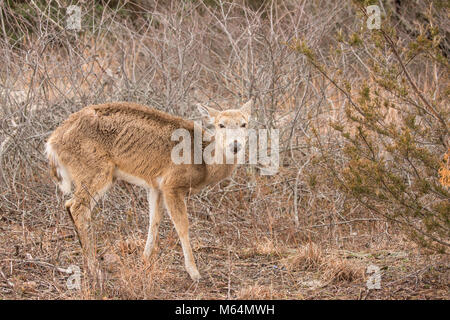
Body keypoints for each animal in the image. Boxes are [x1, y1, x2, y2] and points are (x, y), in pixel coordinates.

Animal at [45, 100, 253, 280]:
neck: (203, 163)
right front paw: (194, 272)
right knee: (77, 207)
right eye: (221, 125)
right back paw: (94, 269)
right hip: (95, 170)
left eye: (244, 124)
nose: (235, 145)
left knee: (71, 205)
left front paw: (144, 259)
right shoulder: (171, 184)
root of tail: (52, 142)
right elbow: (182, 226)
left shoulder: (156, 186)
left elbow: (154, 220)